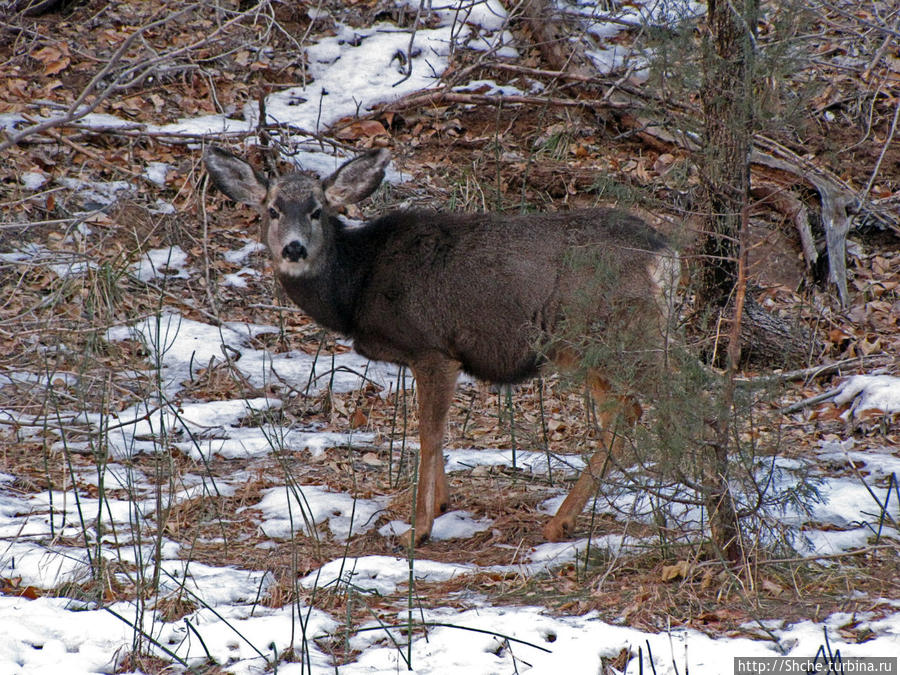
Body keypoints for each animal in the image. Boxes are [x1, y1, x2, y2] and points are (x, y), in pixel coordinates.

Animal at [204, 147, 680, 544]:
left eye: (317, 211)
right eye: (272, 210)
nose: (294, 249)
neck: (357, 285)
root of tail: (662, 254)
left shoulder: (432, 348)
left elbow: (428, 433)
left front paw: (418, 528)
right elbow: (439, 431)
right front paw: (443, 504)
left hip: (616, 334)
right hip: (587, 350)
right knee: (623, 414)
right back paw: (561, 522)